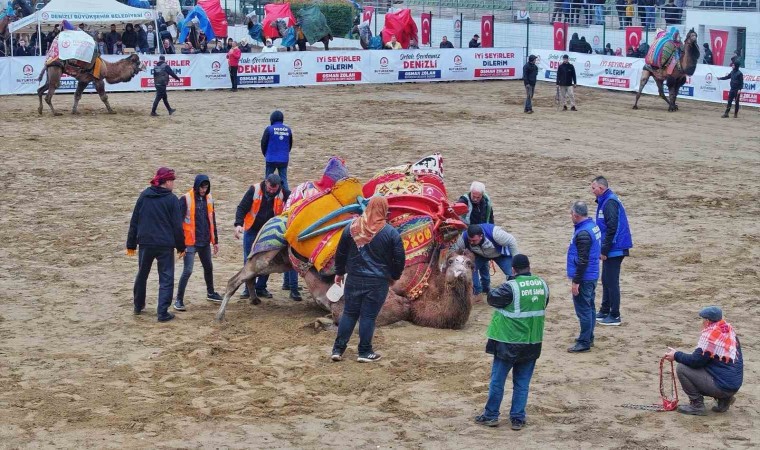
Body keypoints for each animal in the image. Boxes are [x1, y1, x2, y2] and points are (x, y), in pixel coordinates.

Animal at [215, 156, 476, 328]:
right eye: (451, 261)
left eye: (470, 263)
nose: (461, 273)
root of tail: (284, 212)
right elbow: (385, 312)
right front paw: (322, 321)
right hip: (267, 252)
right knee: (235, 279)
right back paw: (221, 315)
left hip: (279, 261)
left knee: (249, 276)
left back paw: (254, 299)